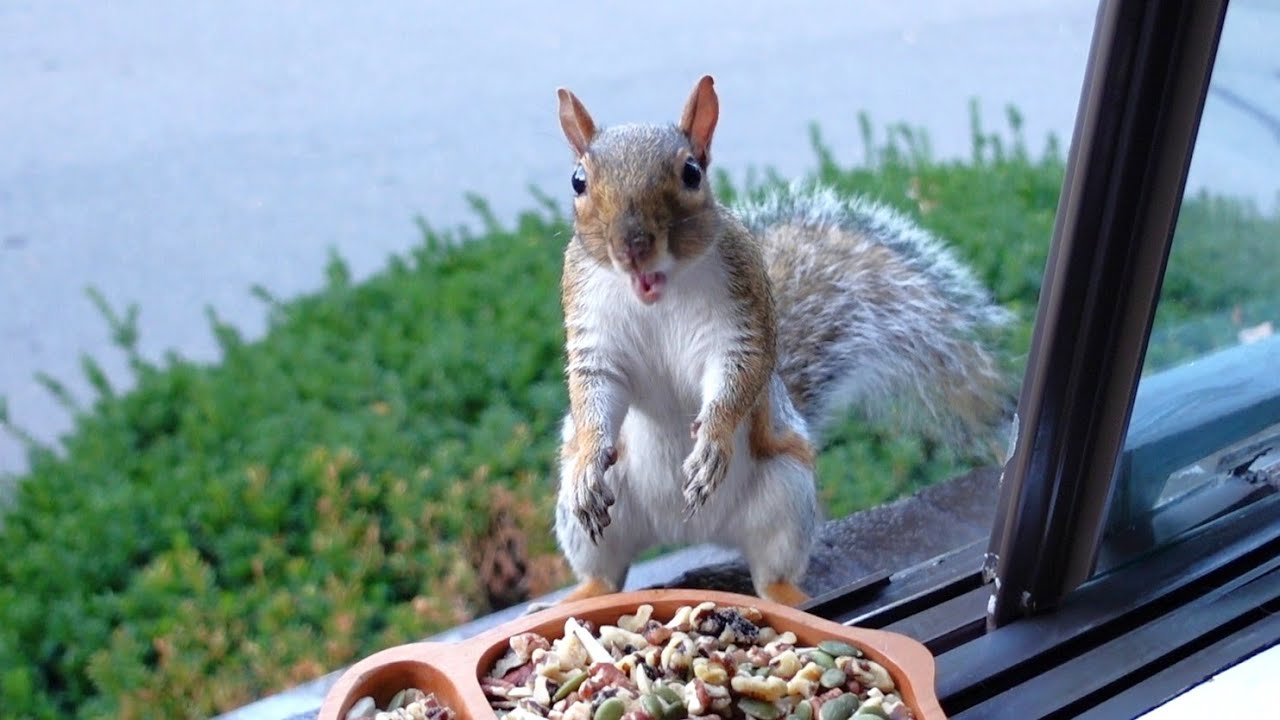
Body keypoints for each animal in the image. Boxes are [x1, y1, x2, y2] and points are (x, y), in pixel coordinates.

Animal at [548, 75, 1011, 608]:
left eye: (691, 173)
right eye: (578, 181)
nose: (632, 245)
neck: (656, 296)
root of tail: (686, 532)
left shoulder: (740, 317)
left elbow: (738, 377)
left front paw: (713, 440)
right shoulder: (593, 329)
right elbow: (596, 391)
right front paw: (590, 457)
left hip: (785, 496)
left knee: (771, 571)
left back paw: (790, 596)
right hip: (595, 521)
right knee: (605, 573)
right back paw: (578, 593)